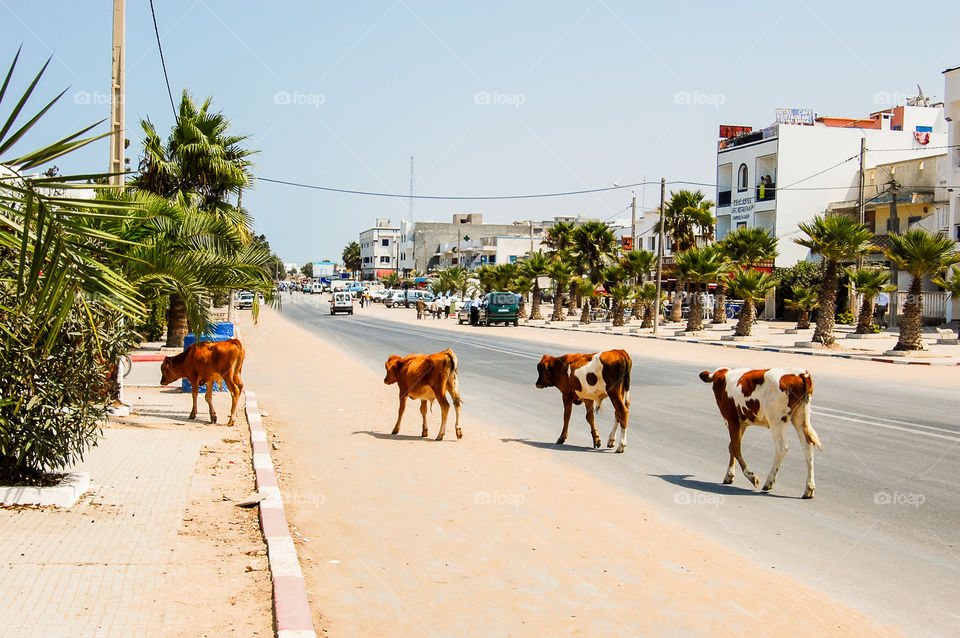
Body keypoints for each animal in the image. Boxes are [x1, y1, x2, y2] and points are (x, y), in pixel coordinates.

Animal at [696, 370, 824, 500]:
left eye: (715, 387)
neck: (723, 379)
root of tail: (800, 373)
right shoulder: (742, 423)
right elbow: (731, 446)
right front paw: (729, 475)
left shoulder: (732, 420)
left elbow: (736, 448)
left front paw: (752, 477)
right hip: (800, 416)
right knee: (808, 447)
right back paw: (809, 489)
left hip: (776, 420)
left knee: (782, 448)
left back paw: (769, 482)